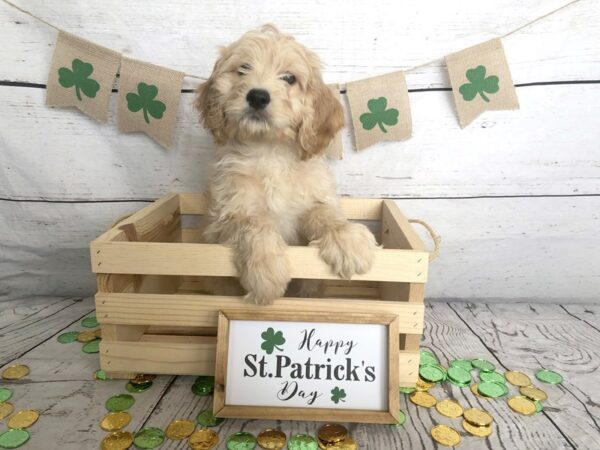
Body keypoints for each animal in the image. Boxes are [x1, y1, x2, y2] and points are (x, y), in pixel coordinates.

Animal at [196, 25, 376, 306]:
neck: (270, 151)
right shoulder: (225, 216)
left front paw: (347, 239)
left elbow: (324, 214)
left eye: (289, 78)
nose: (257, 96)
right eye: (243, 68)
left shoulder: (313, 199)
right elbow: (253, 222)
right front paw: (265, 271)